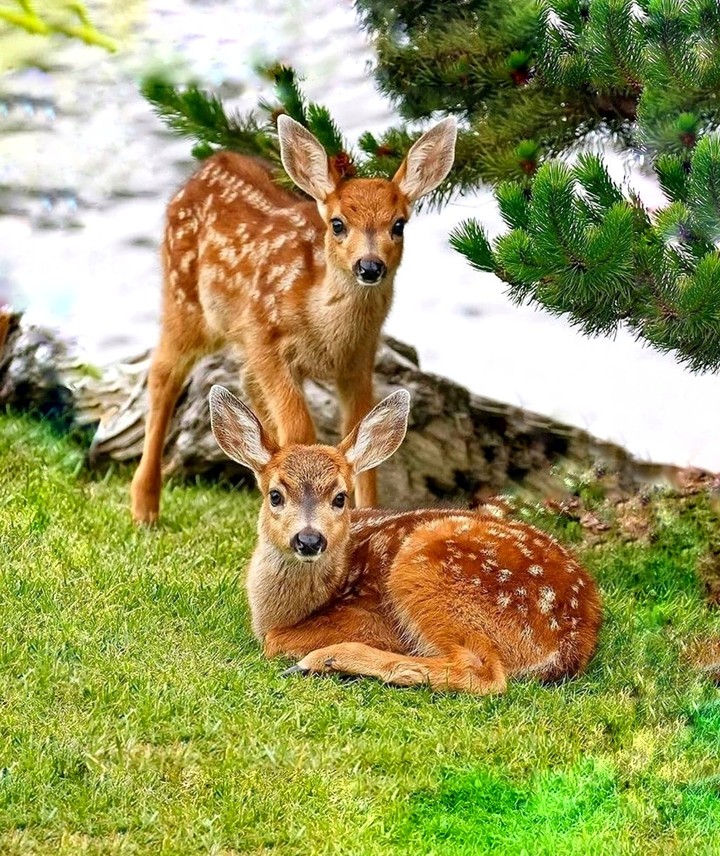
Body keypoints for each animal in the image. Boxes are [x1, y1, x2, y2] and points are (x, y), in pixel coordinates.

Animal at [130, 115, 457, 524]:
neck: (327, 329)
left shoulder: (360, 359)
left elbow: (360, 435)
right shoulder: (264, 335)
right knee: (163, 374)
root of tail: (206, 167)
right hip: (185, 300)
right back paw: (144, 507)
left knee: (244, 385)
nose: (369, 267)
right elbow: (301, 428)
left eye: (398, 224)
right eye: (337, 223)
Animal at [208, 384, 602, 695]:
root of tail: (573, 638)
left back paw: (323, 660)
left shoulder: (367, 617)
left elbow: (276, 642)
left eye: (340, 498)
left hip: (426, 569)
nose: (309, 539)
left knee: (483, 671)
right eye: (275, 495)